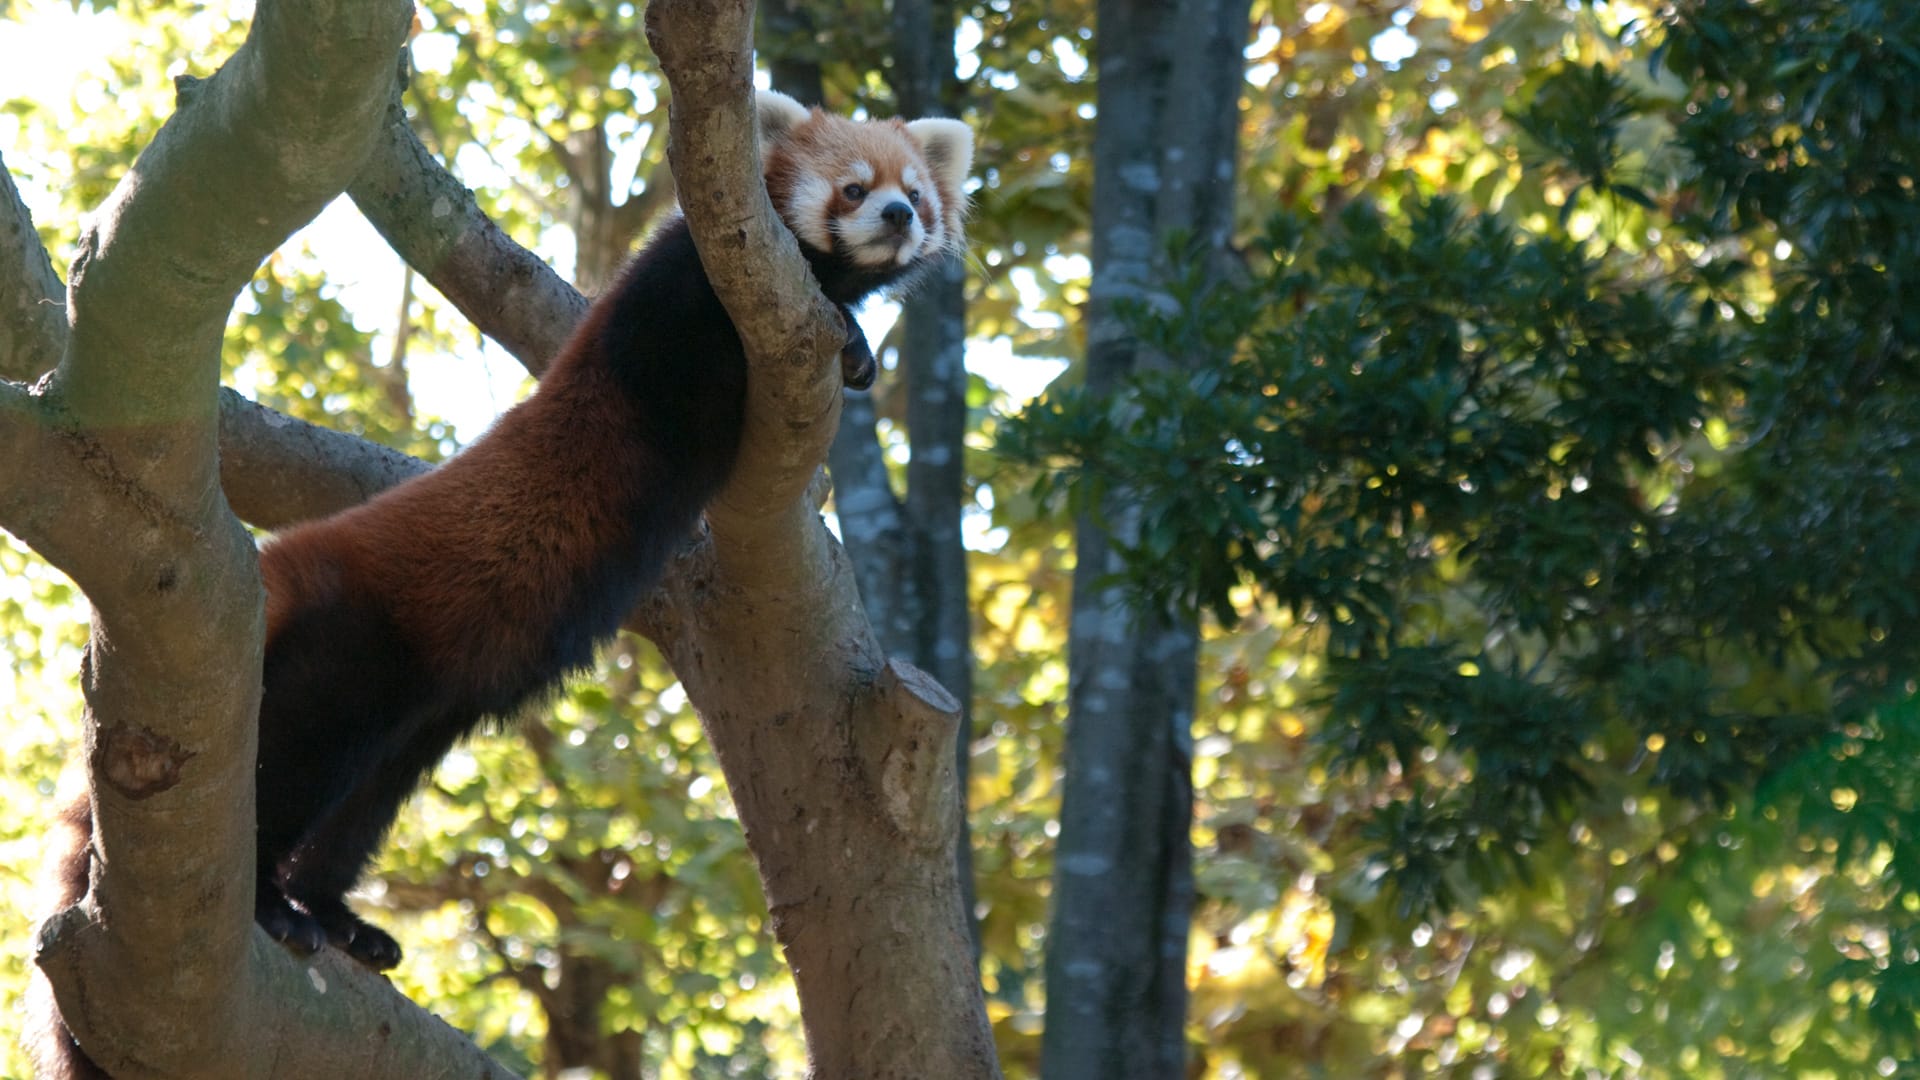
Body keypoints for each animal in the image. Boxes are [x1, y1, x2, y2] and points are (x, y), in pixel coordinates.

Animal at [37, 92, 975, 1076]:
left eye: (915, 191)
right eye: (854, 188)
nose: (898, 217)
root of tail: (283, 563)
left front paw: (861, 347)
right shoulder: (673, 310)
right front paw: (849, 334)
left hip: (414, 713)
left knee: (358, 807)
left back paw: (338, 918)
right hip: (341, 654)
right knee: (283, 765)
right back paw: (270, 908)